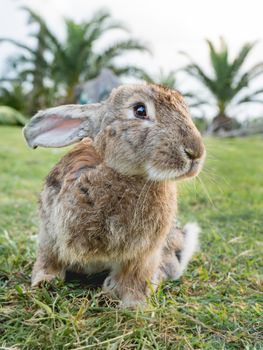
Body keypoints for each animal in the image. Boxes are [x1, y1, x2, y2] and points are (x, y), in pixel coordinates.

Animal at [23, 82, 206, 306]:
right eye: (140, 110)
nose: (195, 152)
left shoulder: (144, 254)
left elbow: (134, 278)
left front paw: (134, 305)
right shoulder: (50, 233)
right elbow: (48, 259)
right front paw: (44, 282)